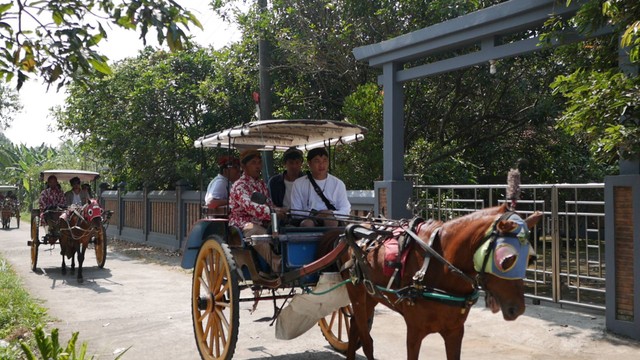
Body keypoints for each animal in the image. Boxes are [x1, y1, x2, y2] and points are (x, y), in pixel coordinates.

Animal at [338, 204, 544, 358]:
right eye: (507, 260)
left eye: (531, 259)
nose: (517, 309)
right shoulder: (414, 331)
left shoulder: (455, 331)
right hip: (356, 292)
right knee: (366, 339)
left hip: (371, 295)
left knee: (354, 325)